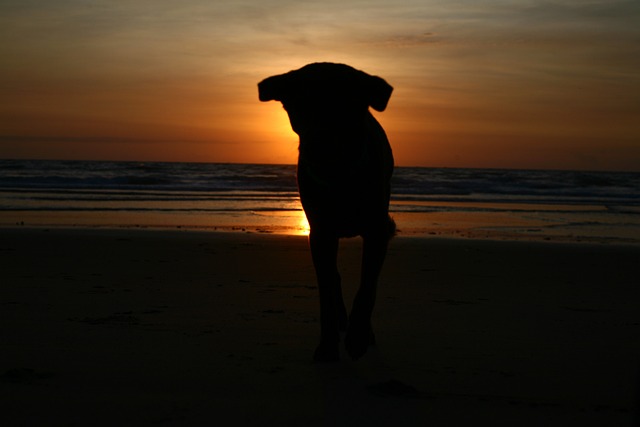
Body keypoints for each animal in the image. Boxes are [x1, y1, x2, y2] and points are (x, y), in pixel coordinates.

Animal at [258, 63, 392, 362]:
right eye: (301, 105)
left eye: (345, 106)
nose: (319, 145)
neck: (339, 176)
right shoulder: (320, 233)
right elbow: (327, 290)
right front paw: (328, 346)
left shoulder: (378, 230)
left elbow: (367, 285)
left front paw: (357, 337)